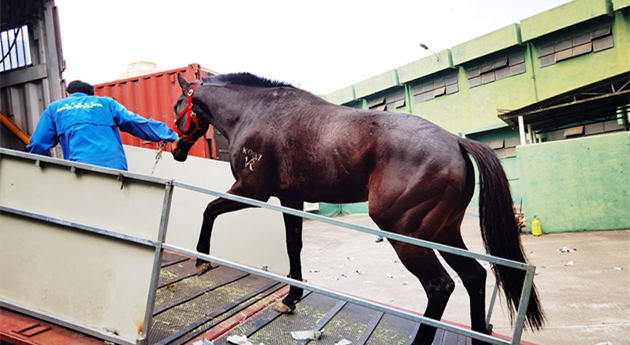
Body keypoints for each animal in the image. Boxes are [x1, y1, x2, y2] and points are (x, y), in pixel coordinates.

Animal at [170, 71, 544, 342]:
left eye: (177, 107)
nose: (175, 150)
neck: (256, 112)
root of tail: (455, 141)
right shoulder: (290, 198)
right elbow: (294, 245)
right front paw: (291, 298)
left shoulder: (252, 192)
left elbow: (209, 209)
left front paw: (201, 259)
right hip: (444, 232)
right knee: (473, 276)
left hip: (406, 235)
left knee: (440, 286)